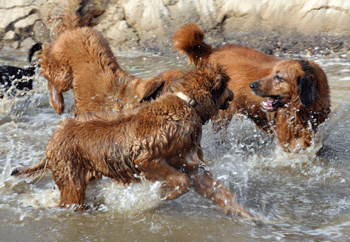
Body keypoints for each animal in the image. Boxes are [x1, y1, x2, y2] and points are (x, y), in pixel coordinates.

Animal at [11, 65, 258, 220]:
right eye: (226, 86)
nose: (234, 94)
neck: (188, 104)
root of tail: (54, 137)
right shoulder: (145, 159)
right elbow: (181, 181)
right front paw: (161, 195)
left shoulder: (190, 162)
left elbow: (216, 189)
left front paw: (250, 216)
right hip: (71, 178)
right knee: (70, 201)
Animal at [172, 22, 330, 151]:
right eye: (272, 74)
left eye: (278, 77)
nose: (251, 85)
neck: (301, 109)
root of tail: (214, 51)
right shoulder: (286, 134)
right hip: (223, 113)